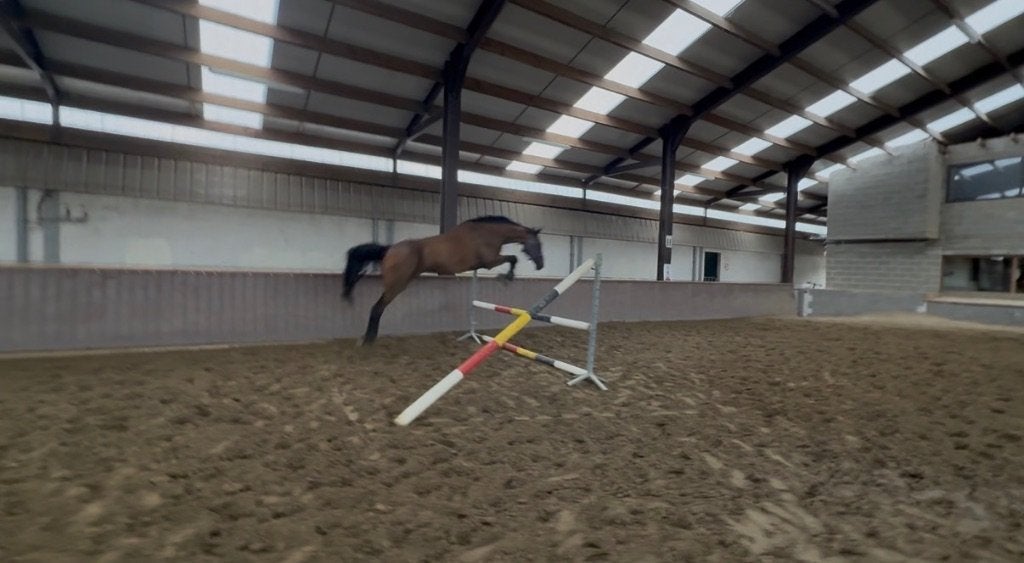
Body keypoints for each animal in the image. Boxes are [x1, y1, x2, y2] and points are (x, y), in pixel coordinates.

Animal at [342, 215, 544, 345]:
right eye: (537, 244)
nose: (541, 265)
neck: (487, 233)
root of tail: (389, 250)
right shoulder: (490, 262)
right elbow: (513, 258)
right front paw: (506, 278)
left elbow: (511, 258)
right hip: (396, 285)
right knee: (377, 308)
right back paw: (368, 340)